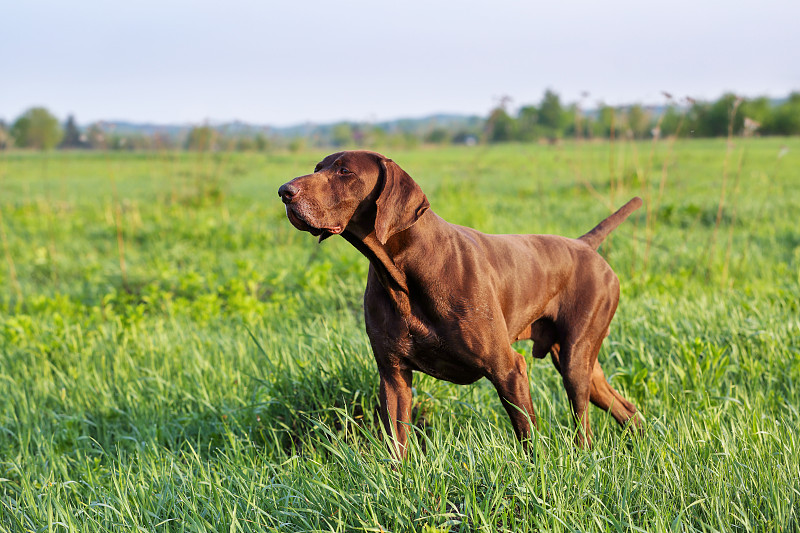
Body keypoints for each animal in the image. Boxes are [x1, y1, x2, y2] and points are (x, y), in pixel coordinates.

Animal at [282, 149, 644, 454]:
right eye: (317, 168)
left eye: (344, 171)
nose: (284, 191)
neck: (405, 273)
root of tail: (584, 245)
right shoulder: (393, 377)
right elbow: (397, 446)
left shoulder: (508, 369)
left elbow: (528, 440)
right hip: (583, 364)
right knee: (627, 410)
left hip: (574, 361)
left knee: (584, 428)